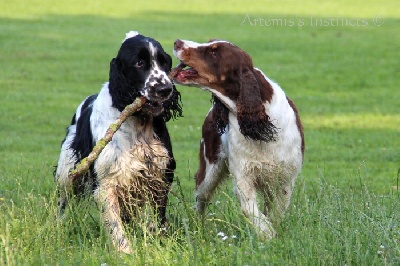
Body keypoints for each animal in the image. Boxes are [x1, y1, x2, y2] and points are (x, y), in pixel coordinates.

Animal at [54, 31, 182, 254]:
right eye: (139, 63)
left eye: (164, 62)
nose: (165, 89)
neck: (138, 122)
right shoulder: (106, 183)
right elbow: (115, 225)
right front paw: (125, 253)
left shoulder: (161, 175)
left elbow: (157, 217)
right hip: (67, 172)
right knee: (64, 203)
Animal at [170, 39, 304, 239]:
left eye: (214, 52)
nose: (178, 42)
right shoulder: (243, 175)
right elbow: (251, 210)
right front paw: (267, 235)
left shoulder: (285, 178)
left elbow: (276, 211)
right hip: (209, 170)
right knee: (201, 200)